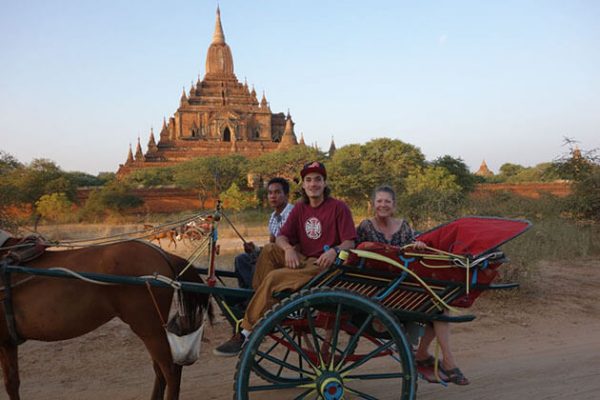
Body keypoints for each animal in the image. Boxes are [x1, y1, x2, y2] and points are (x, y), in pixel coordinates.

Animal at [0, 236, 212, 398]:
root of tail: (162, 254)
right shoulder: (7, 343)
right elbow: (12, 383)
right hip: (152, 329)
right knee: (160, 371)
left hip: (149, 328)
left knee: (170, 371)